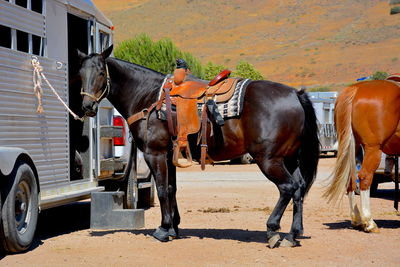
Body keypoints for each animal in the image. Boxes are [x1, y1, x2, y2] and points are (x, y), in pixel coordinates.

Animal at [76, 46, 318, 249]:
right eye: (80, 74)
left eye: (100, 73)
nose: (87, 106)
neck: (147, 96)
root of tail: (295, 94)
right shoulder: (168, 154)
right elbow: (171, 188)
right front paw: (173, 228)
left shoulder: (154, 153)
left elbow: (162, 189)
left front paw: (163, 230)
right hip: (289, 158)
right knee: (299, 188)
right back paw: (292, 235)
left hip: (268, 159)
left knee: (287, 187)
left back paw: (273, 230)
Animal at [324, 79, 400, 232]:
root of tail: (355, 89)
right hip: (372, 148)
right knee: (364, 177)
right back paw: (369, 222)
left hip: (353, 146)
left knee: (351, 178)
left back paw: (356, 219)